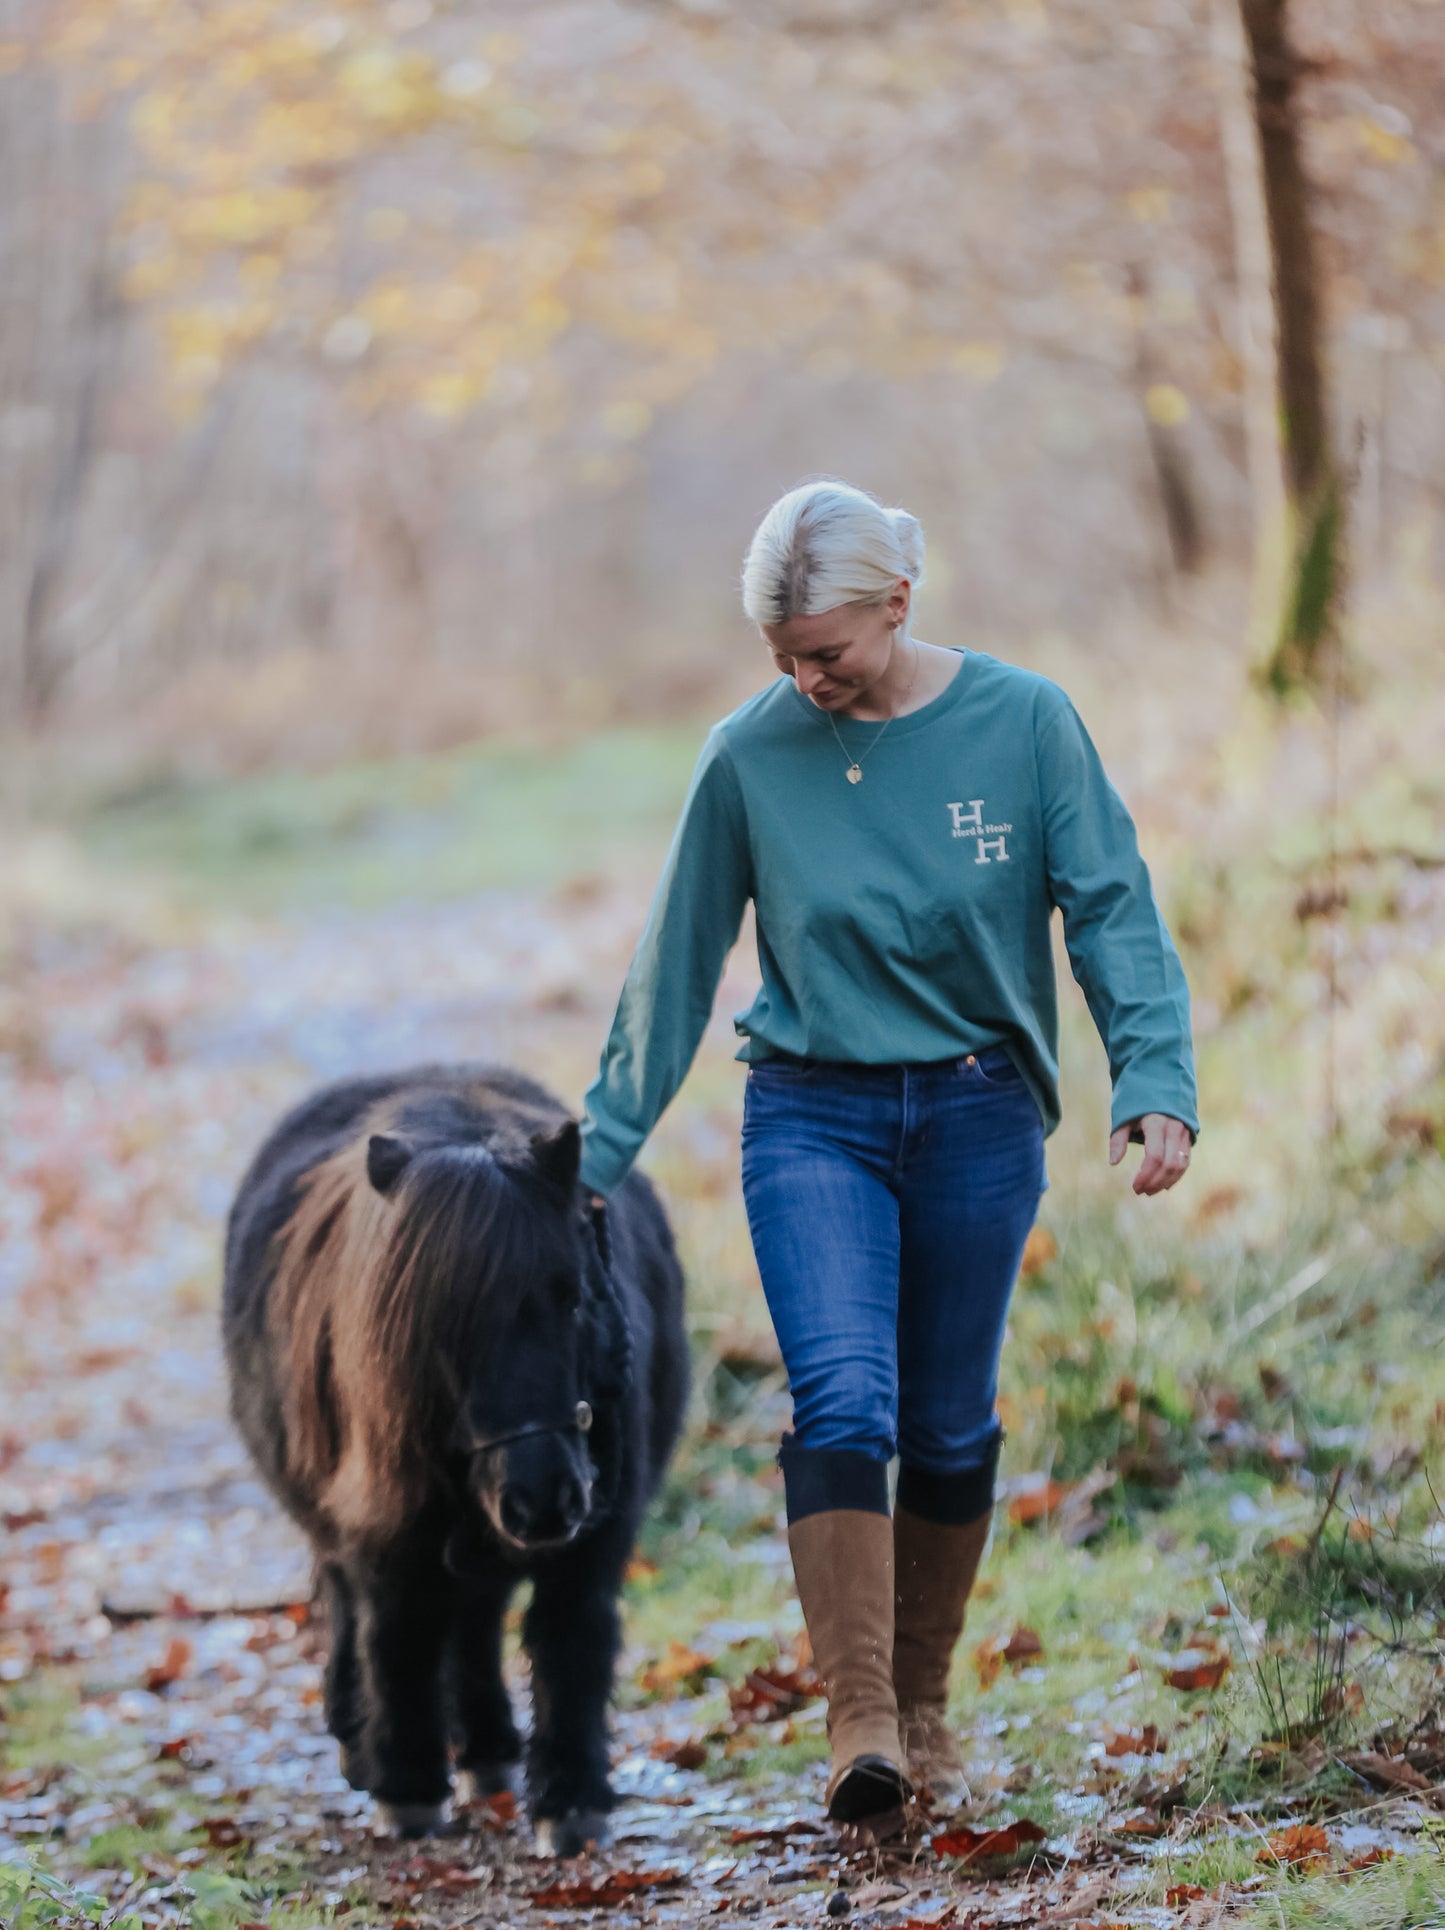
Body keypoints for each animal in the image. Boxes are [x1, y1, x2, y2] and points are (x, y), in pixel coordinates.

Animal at [222, 1065, 690, 1845]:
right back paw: (365, 1742)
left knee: (475, 1619)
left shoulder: (597, 1530)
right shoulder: (383, 1532)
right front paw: (406, 1789)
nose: (544, 1499)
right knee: (362, 1608)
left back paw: (488, 1751)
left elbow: (570, 1640)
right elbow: (397, 1636)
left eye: (571, 1296)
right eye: (438, 1324)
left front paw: (571, 1800)